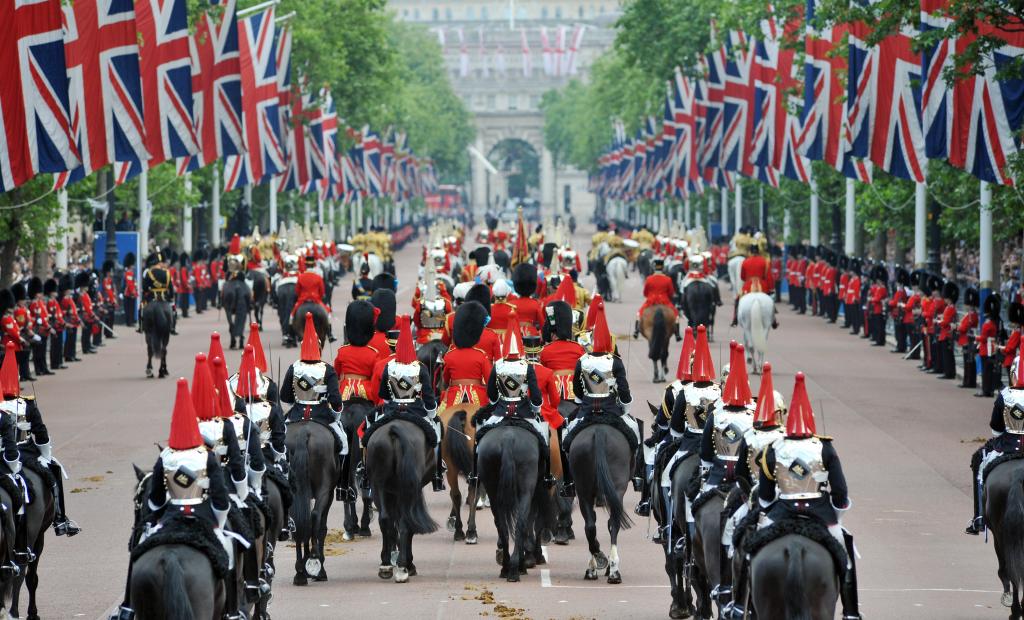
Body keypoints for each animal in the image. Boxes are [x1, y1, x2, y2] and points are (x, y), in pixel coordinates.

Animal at [284, 418, 339, 582]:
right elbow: (321, 528)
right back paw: (314, 558)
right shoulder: (329, 494)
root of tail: (305, 431)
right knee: (315, 516)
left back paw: (300, 572)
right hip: (324, 490)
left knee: (297, 522)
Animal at [364, 418, 436, 582]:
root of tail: (393, 428)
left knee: (385, 519)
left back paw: (385, 565)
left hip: (379, 486)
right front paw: (409, 564)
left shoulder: (392, 493)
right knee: (405, 522)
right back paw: (404, 567)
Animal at [473, 422, 548, 577]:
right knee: (521, 523)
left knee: (502, 525)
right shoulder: (537, 490)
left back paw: (506, 566)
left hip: (493, 491)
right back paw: (517, 567)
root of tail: (508, 439)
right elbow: (535, 523)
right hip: (527, 490)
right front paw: (533, 556)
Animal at [569, 422, 630, 582]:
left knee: (590, 526)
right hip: (614, 489)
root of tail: (599, 430)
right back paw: (612, 569)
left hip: (584, 492)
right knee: (613, 524)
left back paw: (598, 563)